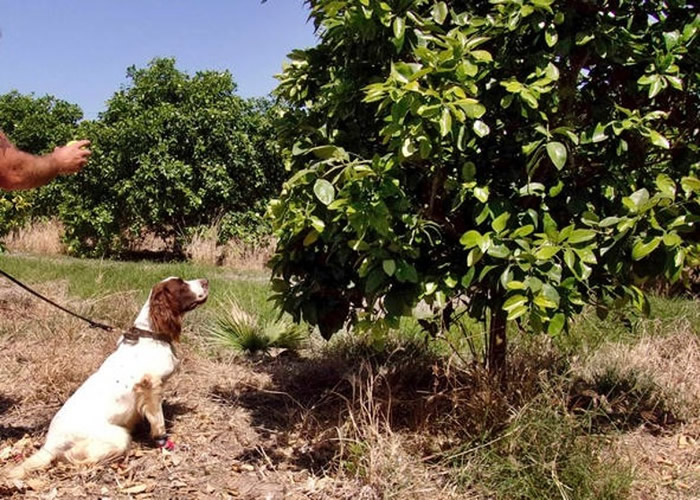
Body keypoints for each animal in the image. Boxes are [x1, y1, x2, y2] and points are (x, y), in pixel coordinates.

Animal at [8, 276, 208, 478]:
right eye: (181, 284)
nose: (205, 281)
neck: (151, 334)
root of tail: (50, 445)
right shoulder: (150, 387)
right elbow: (158, 421)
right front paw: (162, 441)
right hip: (118, 437)